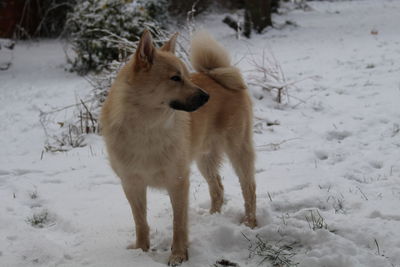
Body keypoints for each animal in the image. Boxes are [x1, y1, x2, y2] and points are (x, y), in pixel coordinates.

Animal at [100, 29, 256, 266]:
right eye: (175, 78)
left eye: (186, 76)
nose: (207, 97)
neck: (147, 128)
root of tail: (216, 75)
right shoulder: (131, 184)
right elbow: (140, 222)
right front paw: (141, 251)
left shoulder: (178, 181)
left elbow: (178, 223)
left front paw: (179, 255)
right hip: (204, 159)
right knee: (218, 188)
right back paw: (213, 217)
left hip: (238, 150)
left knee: (249, 188)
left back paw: (250, 223)